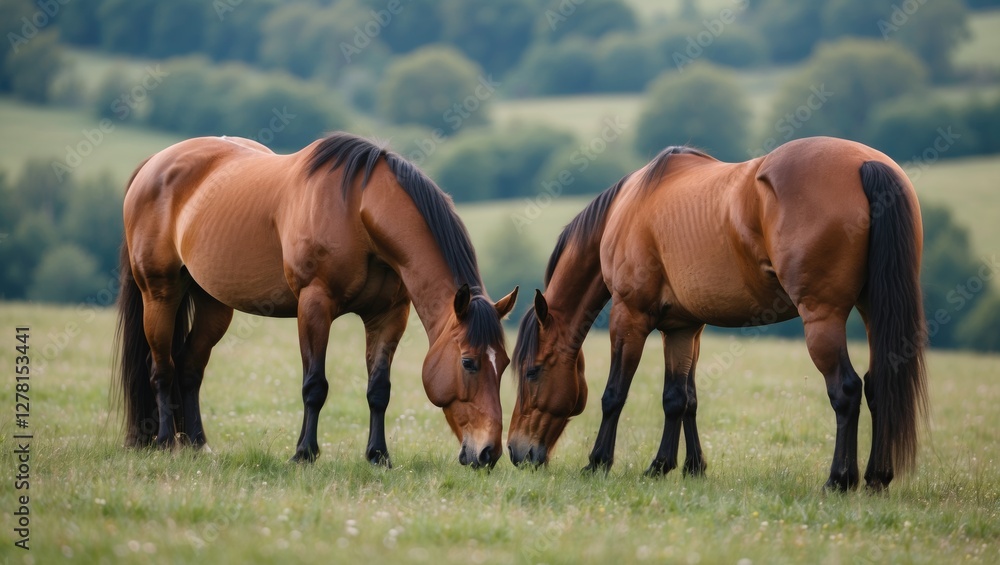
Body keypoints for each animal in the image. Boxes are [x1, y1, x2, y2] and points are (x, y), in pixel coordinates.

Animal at [114, 132, 518, 469]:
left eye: (505, 363)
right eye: (468, 362)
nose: (489, 453)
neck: (358, 212)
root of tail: (154, 163)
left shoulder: (388, 316)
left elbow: (379, 390)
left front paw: (378, 456)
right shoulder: (314, 305)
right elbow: (314, 385)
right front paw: (304, 453)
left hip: (215, 304)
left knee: (189, 367)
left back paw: (198, 444)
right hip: (159, 293)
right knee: (162, 368)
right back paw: (166, 442)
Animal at [508, 136, 927, 491]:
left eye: (532, 371)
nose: (516, 451)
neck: (628, 207)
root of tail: (865, 163)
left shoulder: (629, 318)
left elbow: (615, 394)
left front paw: (598, 462)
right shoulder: (684, 328)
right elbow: (680, 398)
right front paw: (676, 466)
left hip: (822, 319)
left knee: (847, 390)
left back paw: (839, 479)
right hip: (871, 309)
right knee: (877, 383)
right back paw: (876, 477)